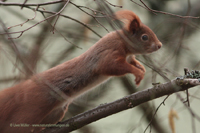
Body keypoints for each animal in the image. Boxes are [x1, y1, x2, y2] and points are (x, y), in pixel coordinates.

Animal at [0, 10, 162, 132]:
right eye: (144, 37)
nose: (159, 45)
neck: (123, 42)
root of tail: (20, 90)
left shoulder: (128, 57)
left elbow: (132, 62)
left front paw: (141, 69)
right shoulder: (108, 52)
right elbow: (111, 66)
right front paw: (138, 73)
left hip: (54, 114)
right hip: (28, 112)